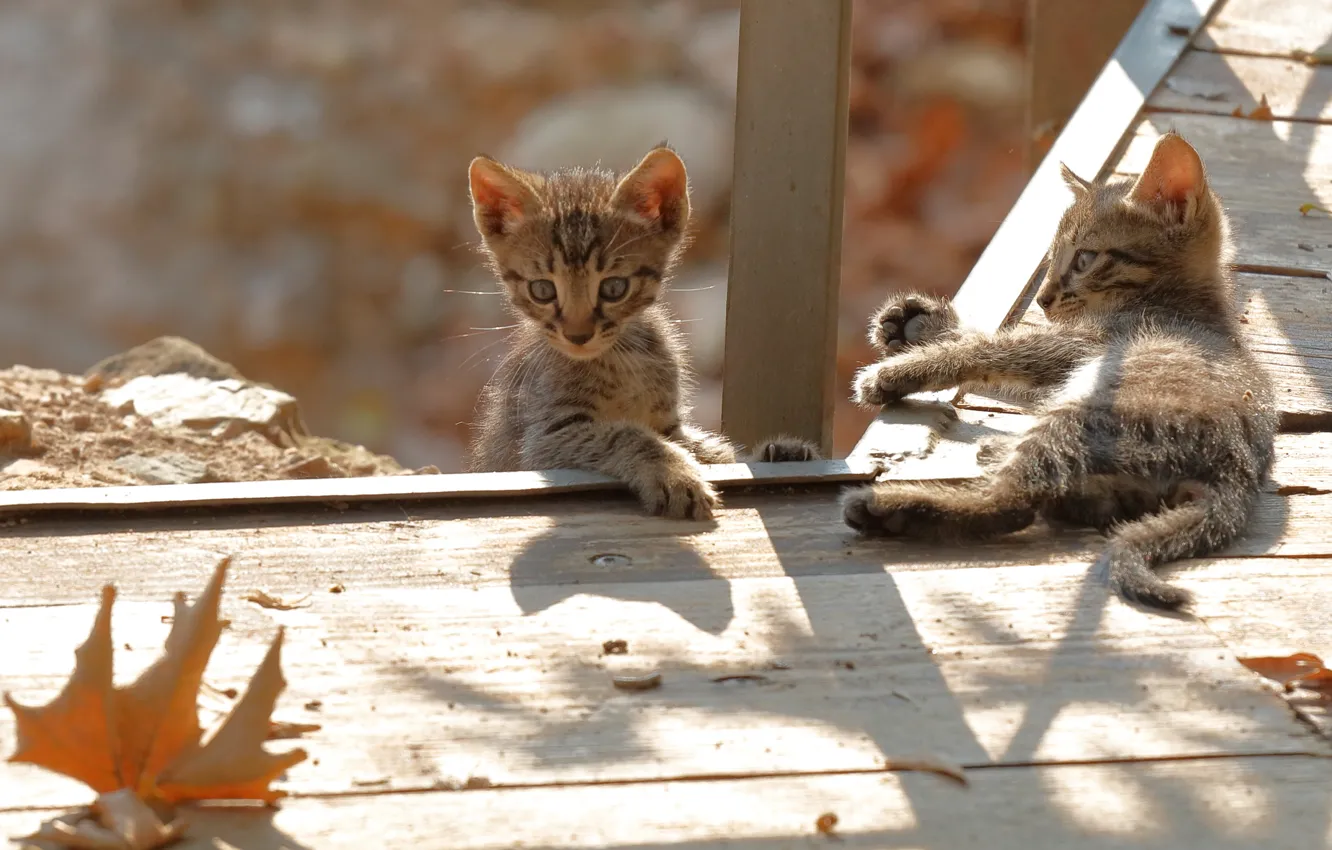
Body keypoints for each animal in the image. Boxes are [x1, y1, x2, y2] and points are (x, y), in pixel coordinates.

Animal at [468, 145, 820, 519]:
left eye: (614, 288)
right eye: (542, 290)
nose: (578, 336)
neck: (623, 359)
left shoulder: (671, 424)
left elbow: (715, 451)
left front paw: (776, 453)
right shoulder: (544, 439)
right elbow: (626, 435)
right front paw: (675, 475)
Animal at [841, 131, 1278, 612]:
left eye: (1084, 259)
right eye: (1051, 258)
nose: (1043, 298)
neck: (1186, 301)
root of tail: (1236, 473)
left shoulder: (1075, 346)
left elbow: (986, 348)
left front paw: (896, 369)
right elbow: (986, 343)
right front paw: (917, 323)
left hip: (1082, 413)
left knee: (1010, 503)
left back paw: (888, 507)